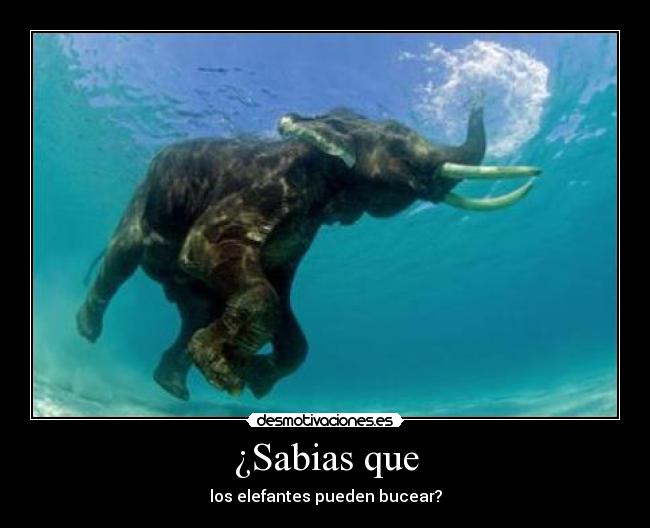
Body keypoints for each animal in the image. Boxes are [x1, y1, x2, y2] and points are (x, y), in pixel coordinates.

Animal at [76, 100, 541, 401]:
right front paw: (228, 376)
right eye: (399, 143)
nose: (479, 96)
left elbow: (284, 304)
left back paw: (172, 385)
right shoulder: (261, 191)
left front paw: (254, 377)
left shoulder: (303, 231)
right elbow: (207, 250)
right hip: (140, 204)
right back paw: (88, 331)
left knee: (196, 310)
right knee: (120, 261)